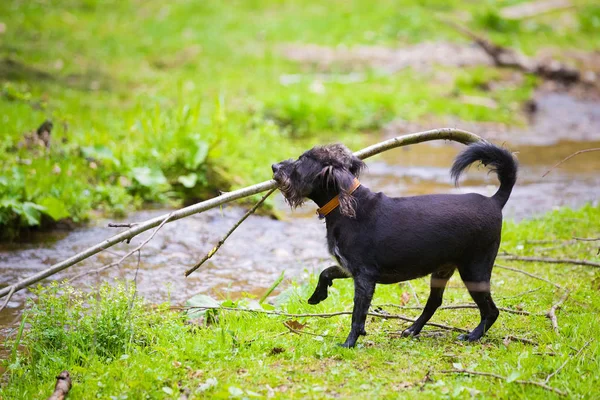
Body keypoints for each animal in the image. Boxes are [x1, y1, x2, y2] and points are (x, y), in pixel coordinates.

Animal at [272, 141, 516, 346]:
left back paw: (473, 335)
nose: (274, 166)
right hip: (442, 271)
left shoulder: (364, 277)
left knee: (491, 311)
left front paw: (349, 343)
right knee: (434, 302)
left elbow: (357, 315)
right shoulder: (349, 267)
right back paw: (413, 329)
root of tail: (494, 201)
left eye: (301, 161)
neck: (346, 207)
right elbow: (326, 272)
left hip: (475, 270)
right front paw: (317, 295)